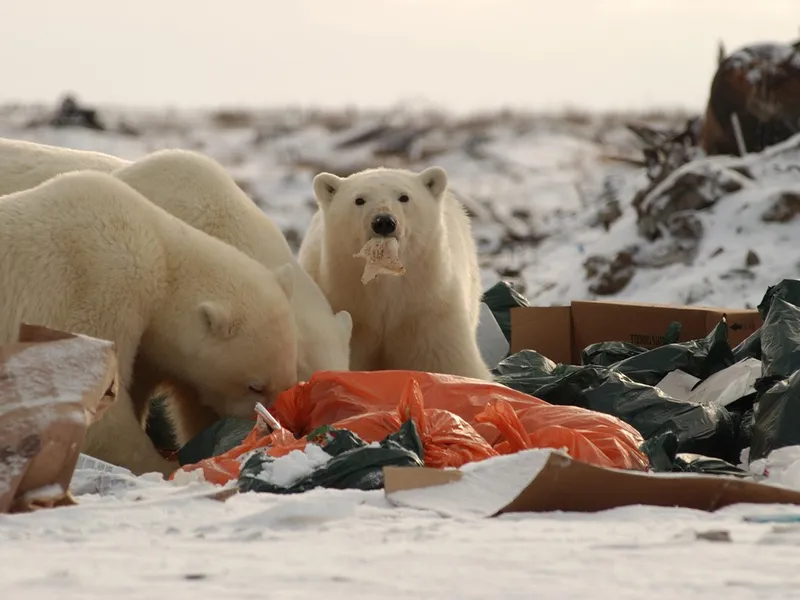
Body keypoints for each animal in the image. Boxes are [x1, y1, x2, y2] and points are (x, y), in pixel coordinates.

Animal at [296, 165, 490, 380]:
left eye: (404, 197)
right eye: (359, 199)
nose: (383, 221)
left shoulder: (428, 311)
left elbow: (450, 364)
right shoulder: (349, 308)